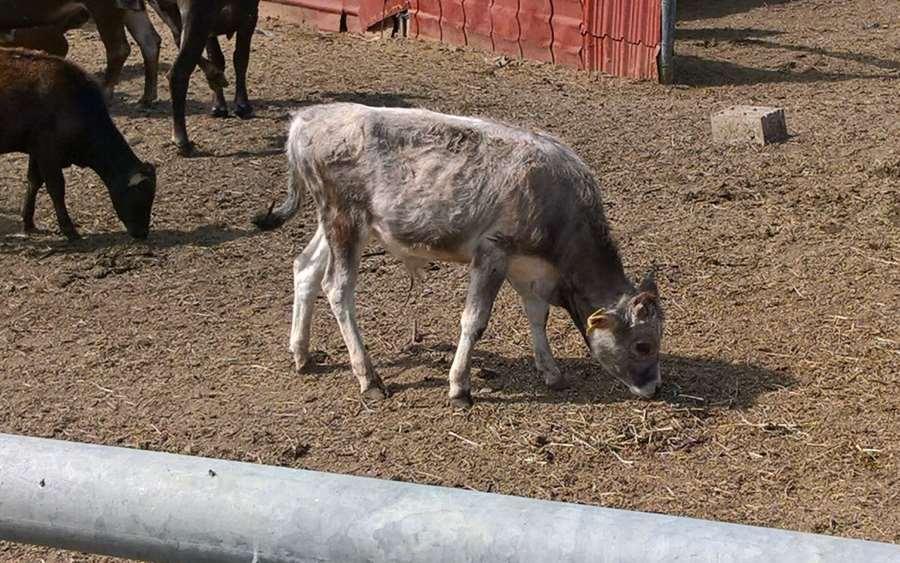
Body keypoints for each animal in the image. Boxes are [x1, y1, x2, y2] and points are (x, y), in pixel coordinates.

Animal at [0, 48, 156, 240]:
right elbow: (56, 188)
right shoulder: (48, 153)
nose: (143, 233)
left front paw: (28, 223)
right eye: (141, 197)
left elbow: (33, 182)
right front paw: (69, 230)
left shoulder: (36, 151)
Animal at [147, 0, 260, 155]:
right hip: (197, 17)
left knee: (178, 38)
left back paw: (215, 76)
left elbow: (217, 57)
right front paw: (242, 105)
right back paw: (182, 140)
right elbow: (241, 58)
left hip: (167, 11)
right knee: (178, 71)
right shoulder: (249, 15)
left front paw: (219, 106)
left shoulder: (212, 28)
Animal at [253, 103, 660, 408]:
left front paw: (551, 371)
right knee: (337, 288)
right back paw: (368, 378)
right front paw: (460, 386)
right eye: (643, 345)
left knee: (305, 268)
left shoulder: (529, 268)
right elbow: (474, 321)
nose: (655, 388)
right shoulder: (493, 252)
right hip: (345, 219)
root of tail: (309, 117)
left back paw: (302, 353)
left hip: (337, 223)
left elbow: (537, 316)